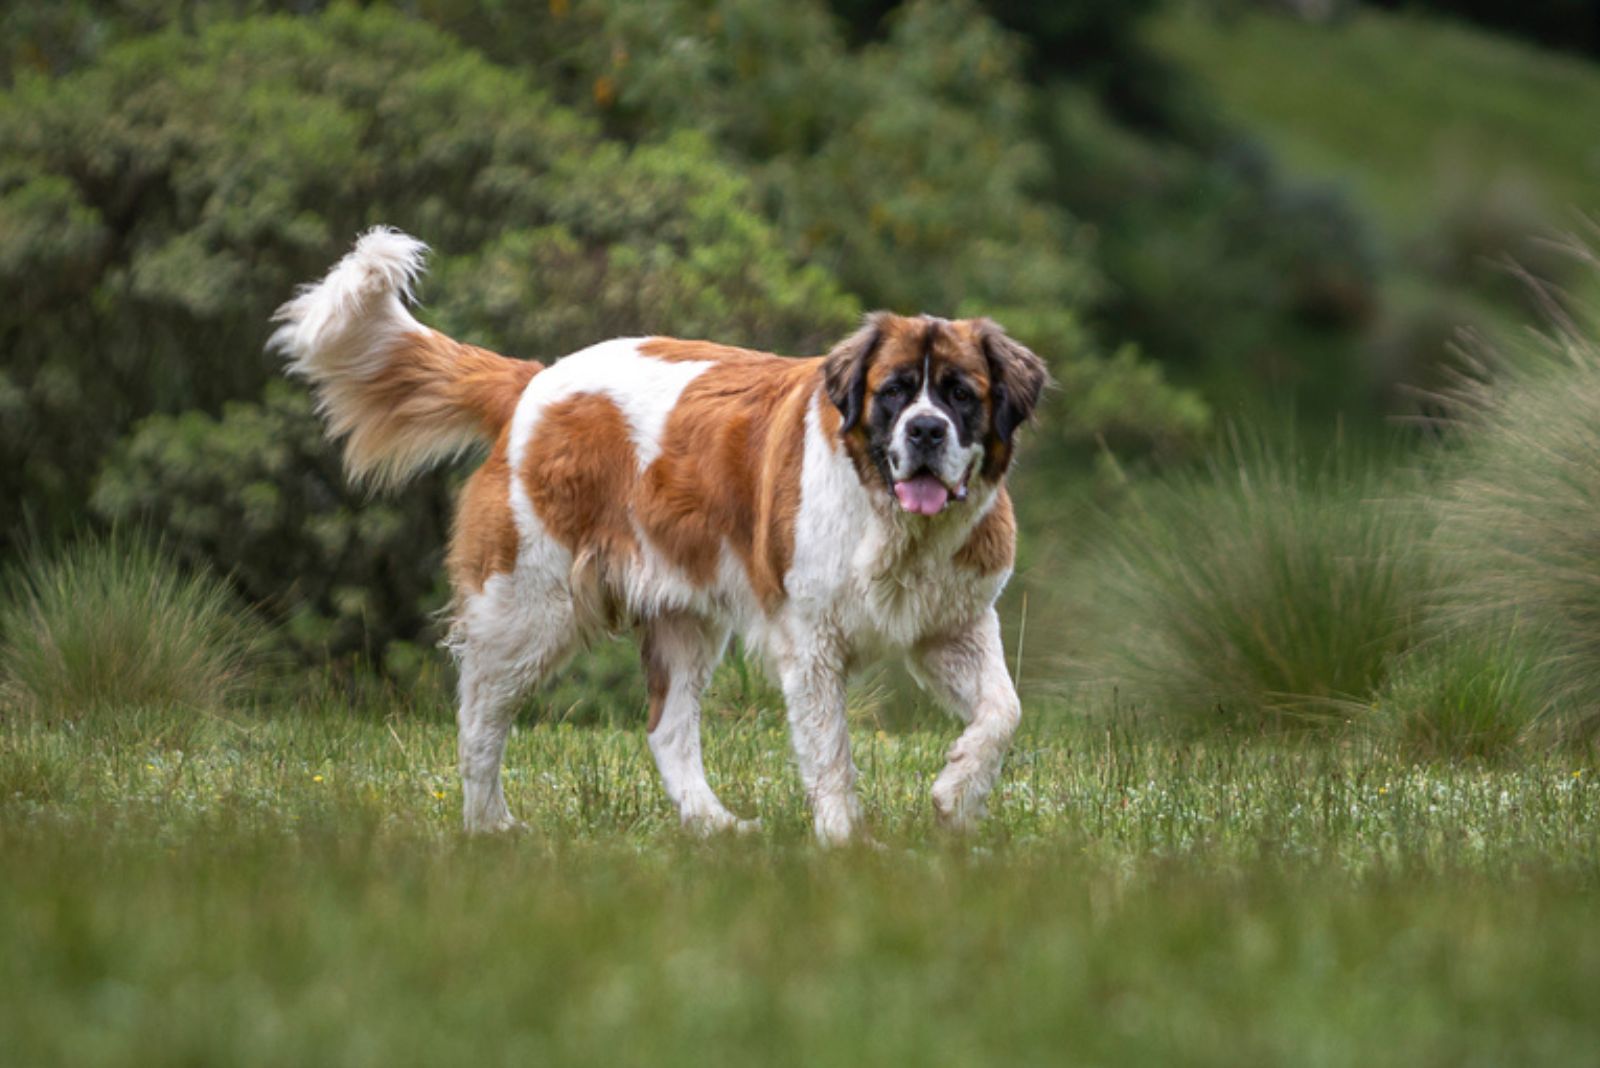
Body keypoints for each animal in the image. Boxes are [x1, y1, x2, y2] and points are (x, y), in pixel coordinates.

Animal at [272, 227, 1049, 844]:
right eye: (893, 392)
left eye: (960, 394)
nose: (925, 431)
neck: (893, 524)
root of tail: (533, 383)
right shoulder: (812, 645)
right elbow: (831, 752)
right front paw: (847, 841)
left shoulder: (954, 625)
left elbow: (1003, 712)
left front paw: (954, 795)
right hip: (529, 608)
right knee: (481, 716)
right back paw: (488, 824)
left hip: (684, 618)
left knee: (667, 729)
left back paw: (714, 825)